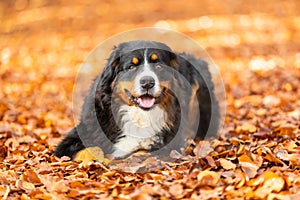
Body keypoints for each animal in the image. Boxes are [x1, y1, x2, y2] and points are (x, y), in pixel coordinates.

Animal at [54, 39, 219, 162]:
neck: (140, 116)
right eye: (131, 66)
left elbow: (138, 152)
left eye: (158, 66)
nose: (147, 83)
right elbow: (85, 151)